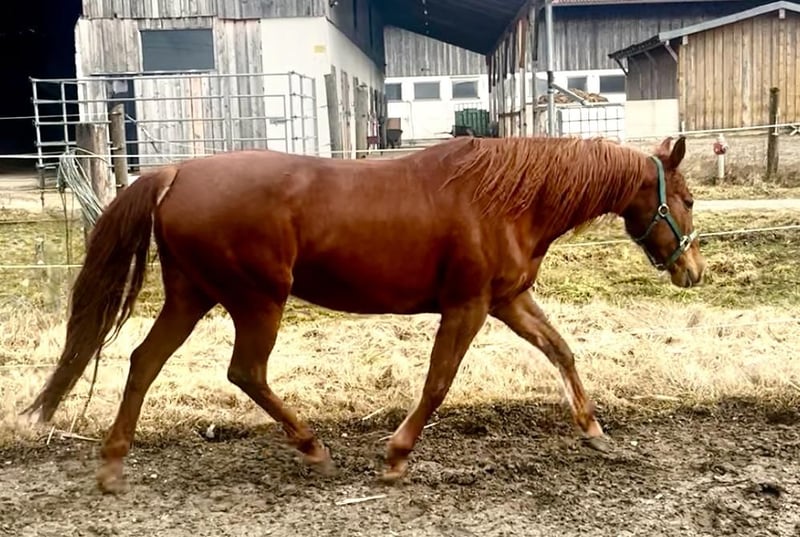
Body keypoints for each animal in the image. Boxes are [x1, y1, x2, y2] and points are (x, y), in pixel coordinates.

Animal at [22, 134, 705, 494]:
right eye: (690, 198)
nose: (693, 272)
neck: (506, 199)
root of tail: (174, 173)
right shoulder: (467, 307)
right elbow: (437, 384)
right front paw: (395, 457)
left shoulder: (508, 300)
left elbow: (561, 349)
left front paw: (593, 429)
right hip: (256, 300)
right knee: (245, 372)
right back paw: (313, 448)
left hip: (194, 296)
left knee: (144, 361)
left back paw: (113, 466)